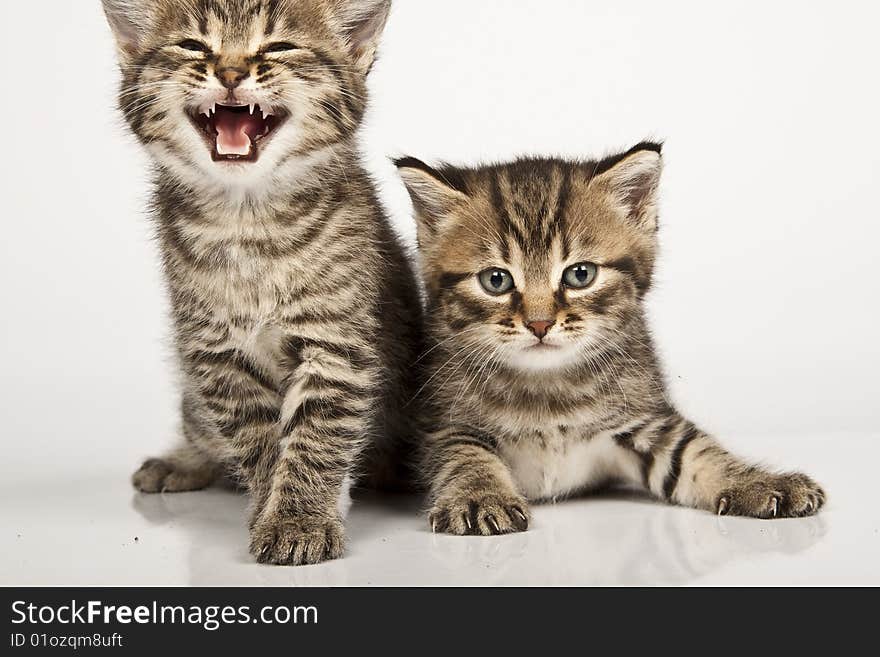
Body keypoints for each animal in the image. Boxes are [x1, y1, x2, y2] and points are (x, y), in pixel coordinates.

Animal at [101, 1, 422, 564]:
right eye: (192, 46)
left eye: (279, 47)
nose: (230, 73)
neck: (248, 220)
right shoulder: (215, 354)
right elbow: (257, 441)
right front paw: (272, 509)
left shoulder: (336, 344)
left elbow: (316, 438)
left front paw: (299, 520)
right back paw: (181, 460)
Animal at [398, 144, 824, 532]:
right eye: (496, 280)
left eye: (580, 274)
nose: (540, 324)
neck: (547, 390)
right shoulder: (442, 422)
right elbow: (464, 455)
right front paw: (479, 495)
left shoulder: (645, 418)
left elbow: (698, 452)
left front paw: (759, 482)